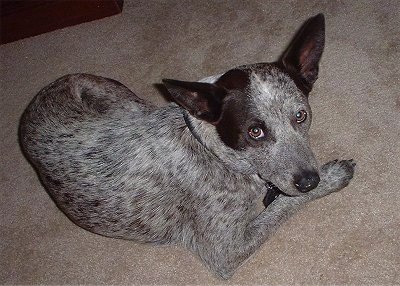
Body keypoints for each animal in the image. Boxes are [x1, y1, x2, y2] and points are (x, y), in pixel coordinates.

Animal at [20, 13, 354, 280]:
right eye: (255, 132)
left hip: (120, 97)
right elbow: (283, 205)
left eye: (301, 115)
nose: (310, 180)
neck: (213, 152)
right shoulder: (226, 252)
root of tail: (34, 104)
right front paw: (332, 176)